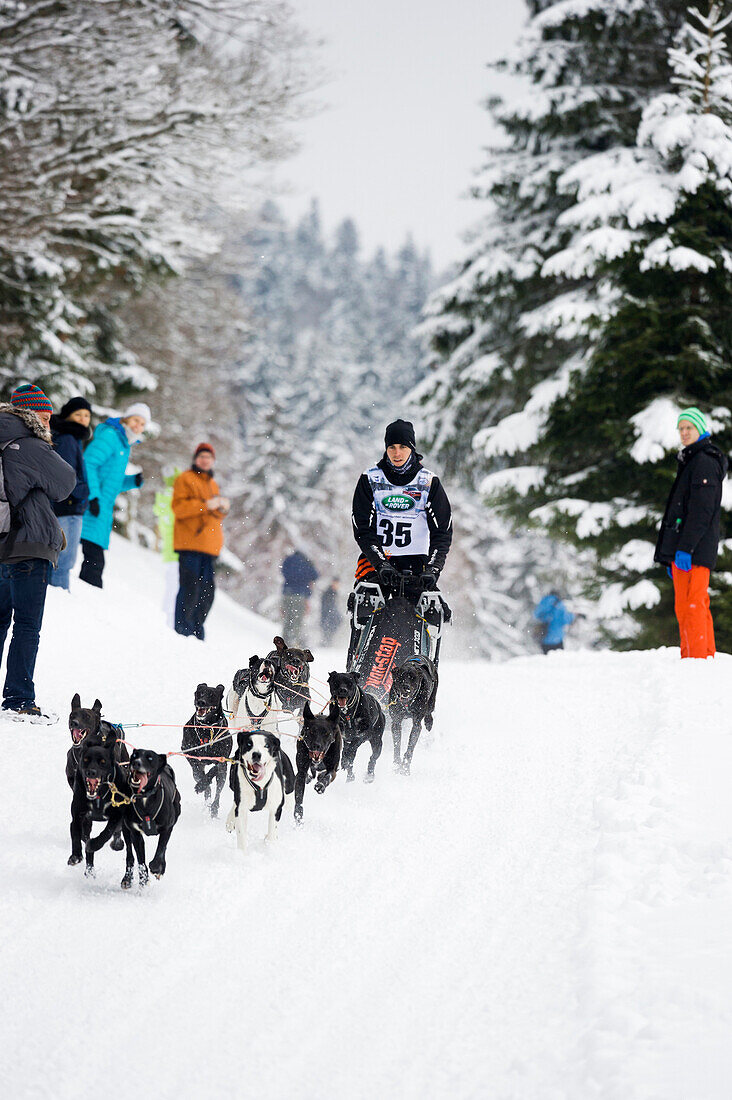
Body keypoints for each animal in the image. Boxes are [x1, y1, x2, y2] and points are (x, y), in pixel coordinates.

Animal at [120, 743, 180, 888]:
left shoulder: (167, 827)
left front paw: (157, 868)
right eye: (134, 755)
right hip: (125, 829)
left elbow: (161, 849)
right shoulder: (135, 833)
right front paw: (144, 879)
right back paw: (127, 878)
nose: (136, 763)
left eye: (150, 758)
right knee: (129, 854)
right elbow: (141, 860)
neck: (144, 796)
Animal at [181, 677, 230, 818]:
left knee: (218, 790)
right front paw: (202, 785)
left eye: (212, 695)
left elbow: (214, 770)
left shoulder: (222, 761)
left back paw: (214, 808)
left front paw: (203, 784)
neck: (207, 729)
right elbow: (200, 773)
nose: (201, 702)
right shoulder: (190, 756)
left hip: (223, 775)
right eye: (200, 692)